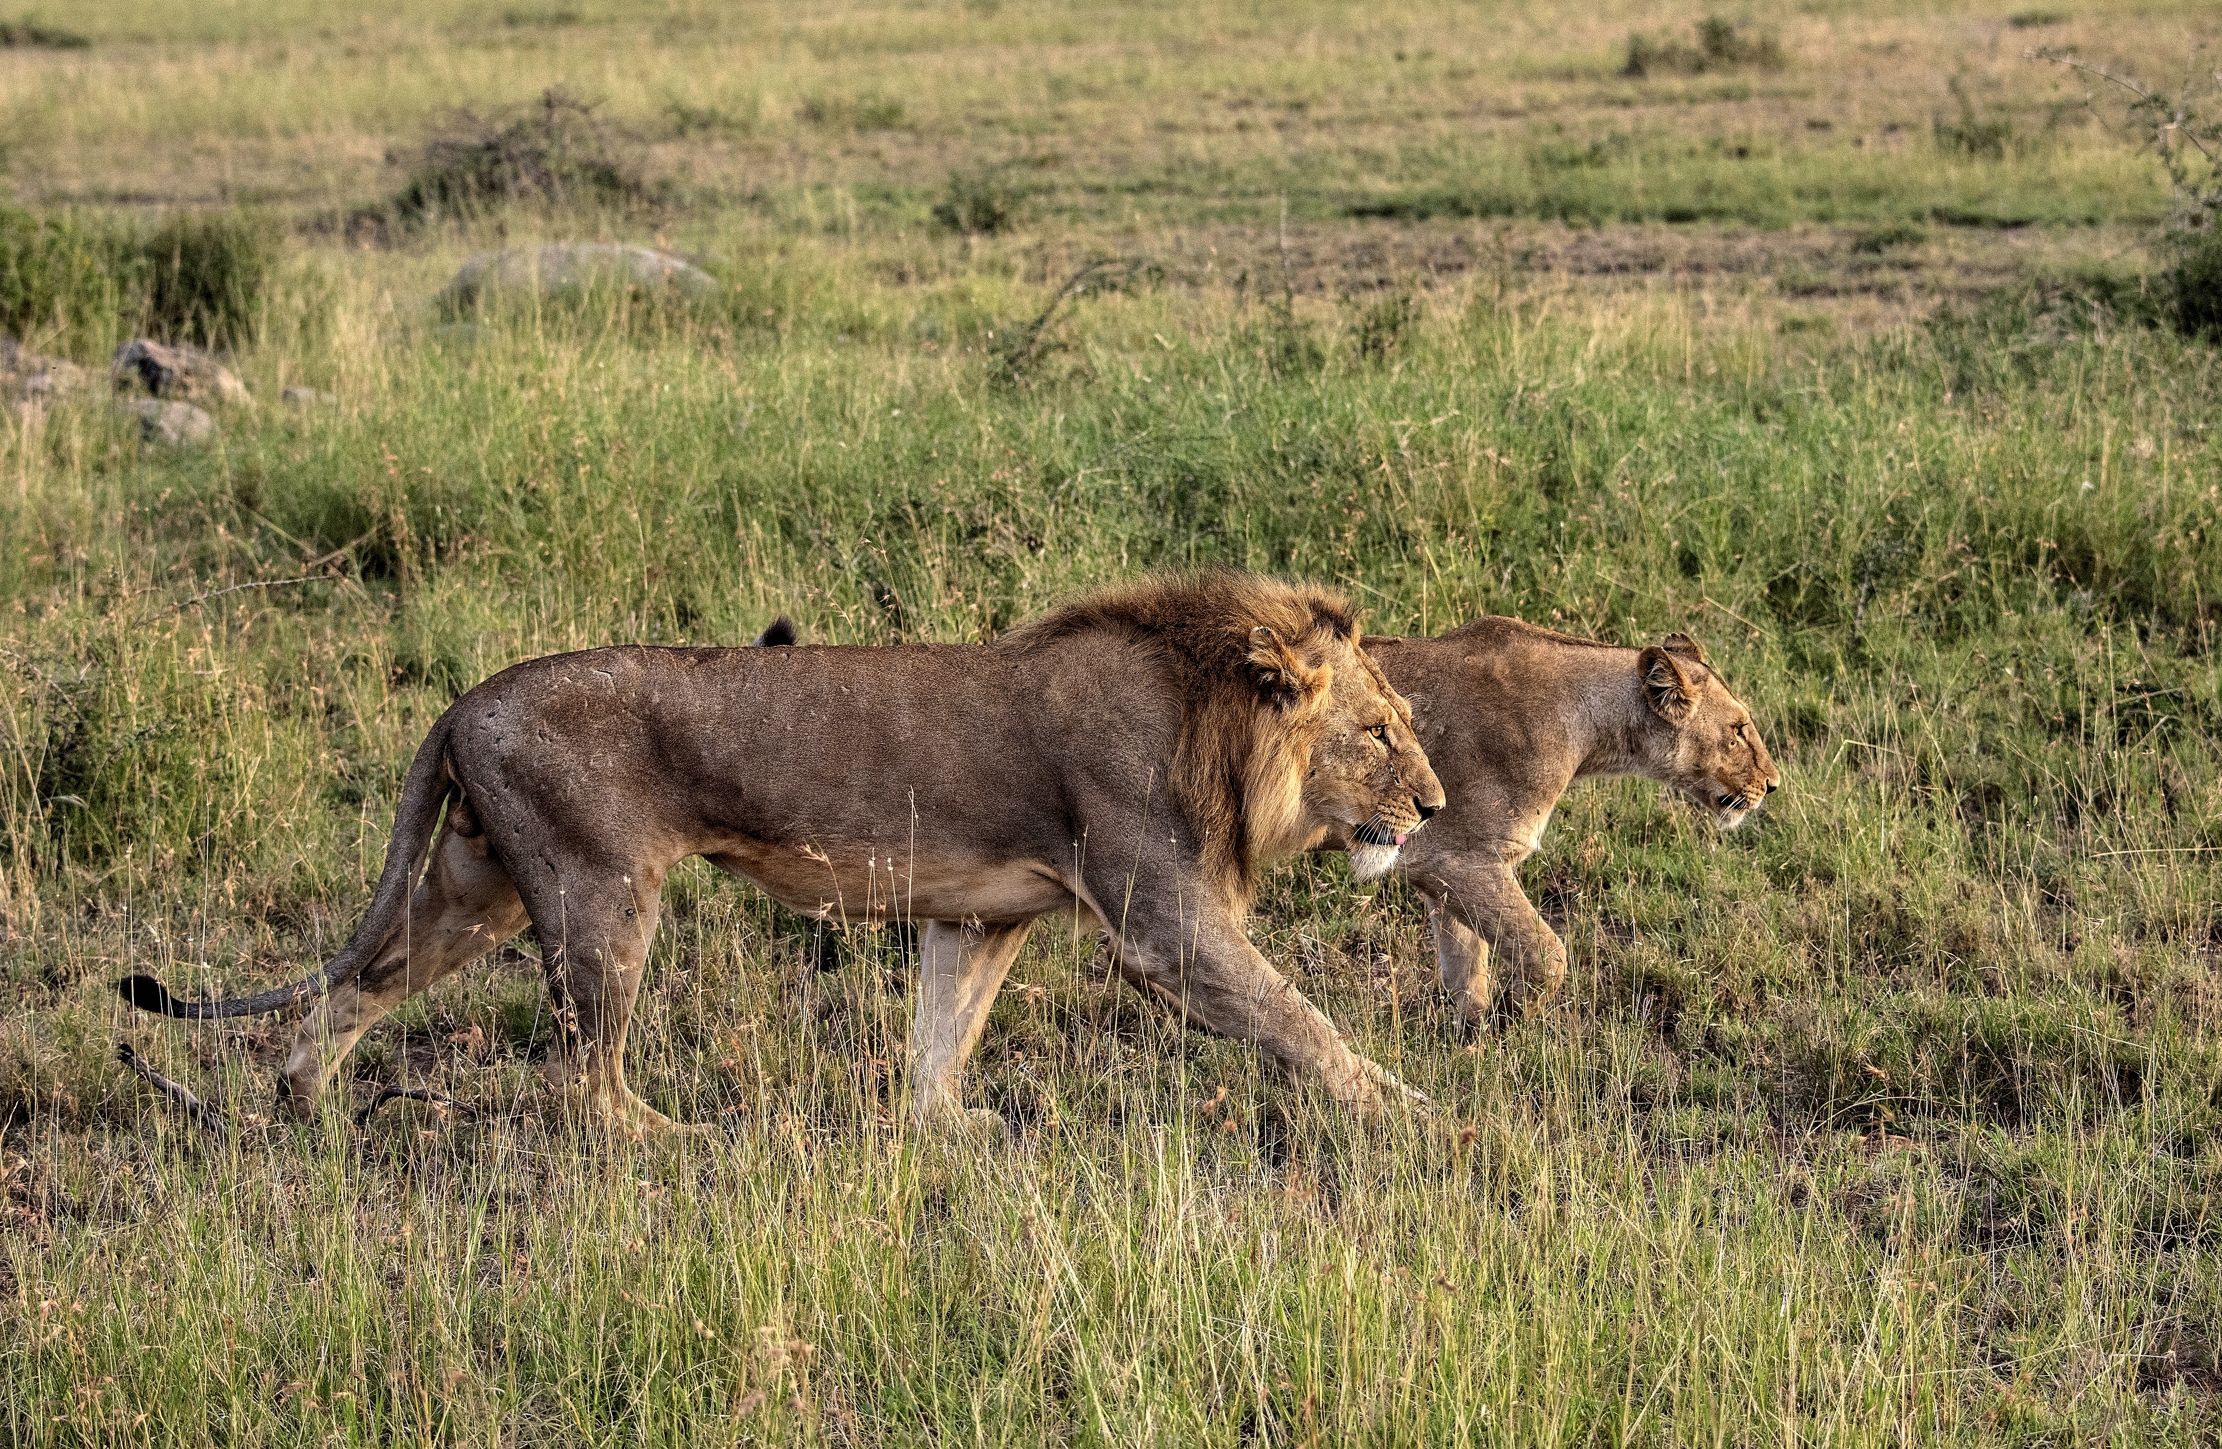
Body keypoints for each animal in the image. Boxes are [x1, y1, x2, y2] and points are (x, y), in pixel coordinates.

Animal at [121, 573, 1448, 1137]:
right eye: (1380, 732)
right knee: (580, 1078)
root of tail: (460, 700)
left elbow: (942, 1031)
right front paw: (1413, 1113)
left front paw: (942, 1131)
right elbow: (1297, 1020)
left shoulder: (981, 914)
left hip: (476, 884)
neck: (1208, 716)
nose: (1435, 805)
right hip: (601, 893)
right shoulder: (1162, 920)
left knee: (353, 985)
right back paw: (669, 1142)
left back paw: (300, 1106)